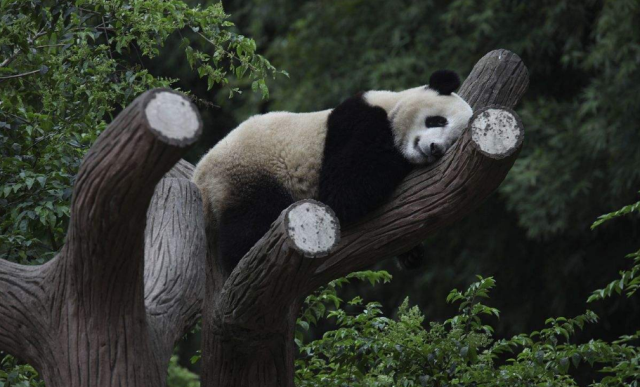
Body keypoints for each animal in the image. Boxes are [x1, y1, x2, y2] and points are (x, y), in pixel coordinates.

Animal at [192, 69, 472, 276]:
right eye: (438, 120)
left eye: (452, 141)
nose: (435, 149)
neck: (391, 104)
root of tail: (200, 175)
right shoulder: (357, 120)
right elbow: (346, 190)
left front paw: (411, 254)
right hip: (249, 171)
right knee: (251, 219)